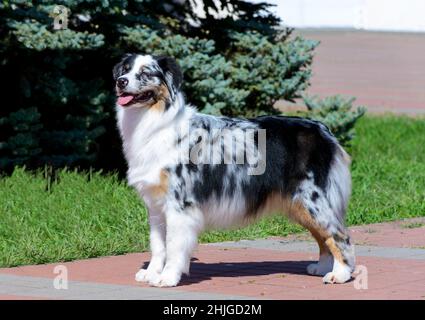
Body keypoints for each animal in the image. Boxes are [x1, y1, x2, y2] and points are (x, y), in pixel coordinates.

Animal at [112, 53, 354, 288]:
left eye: (146, 73)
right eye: (125, 69)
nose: (120, 82)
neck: (153, 121)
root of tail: (323, 130)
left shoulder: (180, 204)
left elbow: (173, 245)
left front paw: (168, 277)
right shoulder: (155, 205)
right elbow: (157, 244)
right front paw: (151, 273)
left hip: (314, 198)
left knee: (339, 235)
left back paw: (339, 274)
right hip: (300, 204)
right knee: (323, 237)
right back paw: (322, 267)